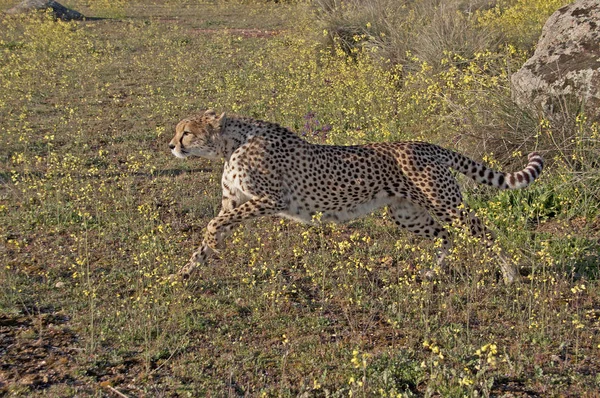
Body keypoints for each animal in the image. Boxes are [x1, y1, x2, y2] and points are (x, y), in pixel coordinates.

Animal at [169, 109, 544, 282]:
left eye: (186, 133)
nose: (171, 145)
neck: (231, 143)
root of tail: (425, 144)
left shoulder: (272, 200)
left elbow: (213, 224)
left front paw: (210, 245)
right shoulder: (236, 201)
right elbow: (213, 229)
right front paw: (182, 273)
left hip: (445, 203)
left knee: (484, 231)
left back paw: (511, 274)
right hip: (406, 213)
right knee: (445, 236)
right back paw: (431, 274)